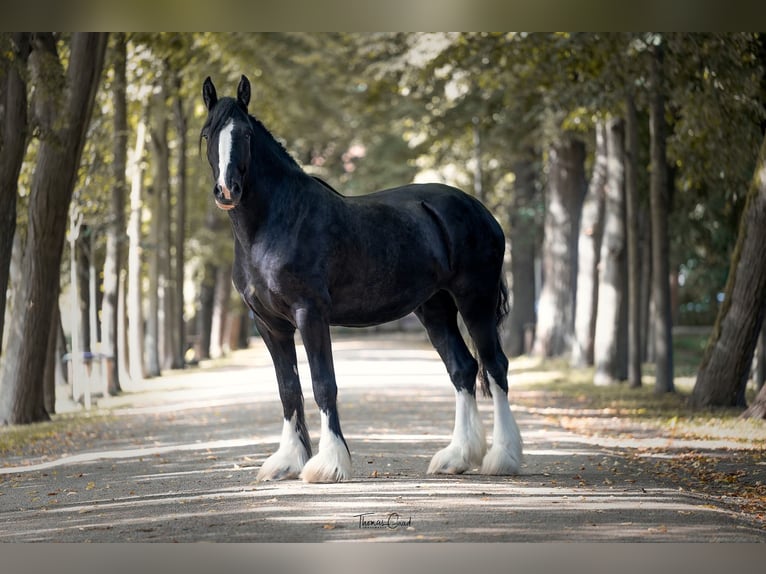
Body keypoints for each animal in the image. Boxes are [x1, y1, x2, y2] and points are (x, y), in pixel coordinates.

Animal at [200, 75, 522, 483]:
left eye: (245, 133)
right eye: (207, 133)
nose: (227, 190)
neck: (275, 222)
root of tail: (480, 210)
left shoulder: (310, 313)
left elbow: (323, 384)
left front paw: (329, 463)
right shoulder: (269, 324)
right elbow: (288, 389)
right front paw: (288, 461)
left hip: (475, 299)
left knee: (495, 367)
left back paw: (503, 458)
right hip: (434, 307)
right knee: (463, 369)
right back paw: (456, 457)